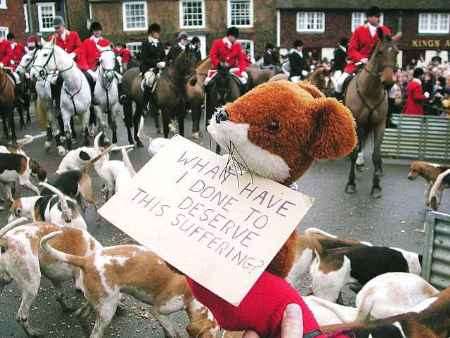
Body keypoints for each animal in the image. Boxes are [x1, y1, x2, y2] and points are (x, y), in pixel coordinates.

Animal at [344, 29, 400, 198]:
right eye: (380, 52)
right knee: (360, 143)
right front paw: (351, 183)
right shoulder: (356, 122)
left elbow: (375, 154)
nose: (388, 82)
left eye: (396, 52)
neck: (370, 90)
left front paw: (376, 186)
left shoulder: (379, 124)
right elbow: (354, 151)